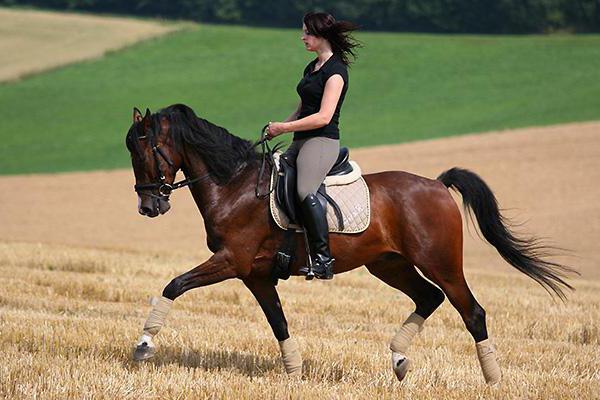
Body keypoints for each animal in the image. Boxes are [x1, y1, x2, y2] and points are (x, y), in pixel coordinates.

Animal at [124, 103, 576, 384]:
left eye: (145, 150)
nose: (148, 205)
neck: (233, 185)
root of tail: (436, 184)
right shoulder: (254, 274)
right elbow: (278, 322)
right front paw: (294, 373)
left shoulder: (231, 260)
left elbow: (174, 285)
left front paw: (144, 345)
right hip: (389, 264)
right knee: (428, 298)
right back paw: (399, 359)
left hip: (441, 263)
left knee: (472, 312)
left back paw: (492, 379)